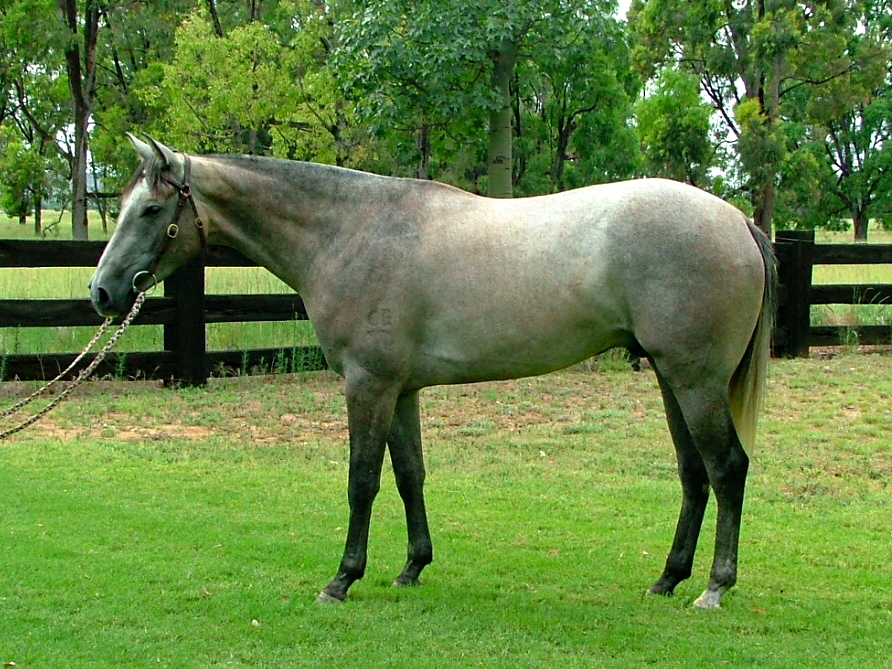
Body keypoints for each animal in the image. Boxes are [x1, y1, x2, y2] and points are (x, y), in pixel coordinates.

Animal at [90, 134, 777, 610]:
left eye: (150, 209)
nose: (101, 293)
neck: (351, 233)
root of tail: (737, 220)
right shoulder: (401, 389)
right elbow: (409, 475)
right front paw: (412, 567)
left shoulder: (367, 384)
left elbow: (362, 480)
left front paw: (342, 578)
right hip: (671, 376)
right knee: (693, 473)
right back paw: (668, 578)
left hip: (694, 380)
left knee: (726, 468)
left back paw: (714, 587)